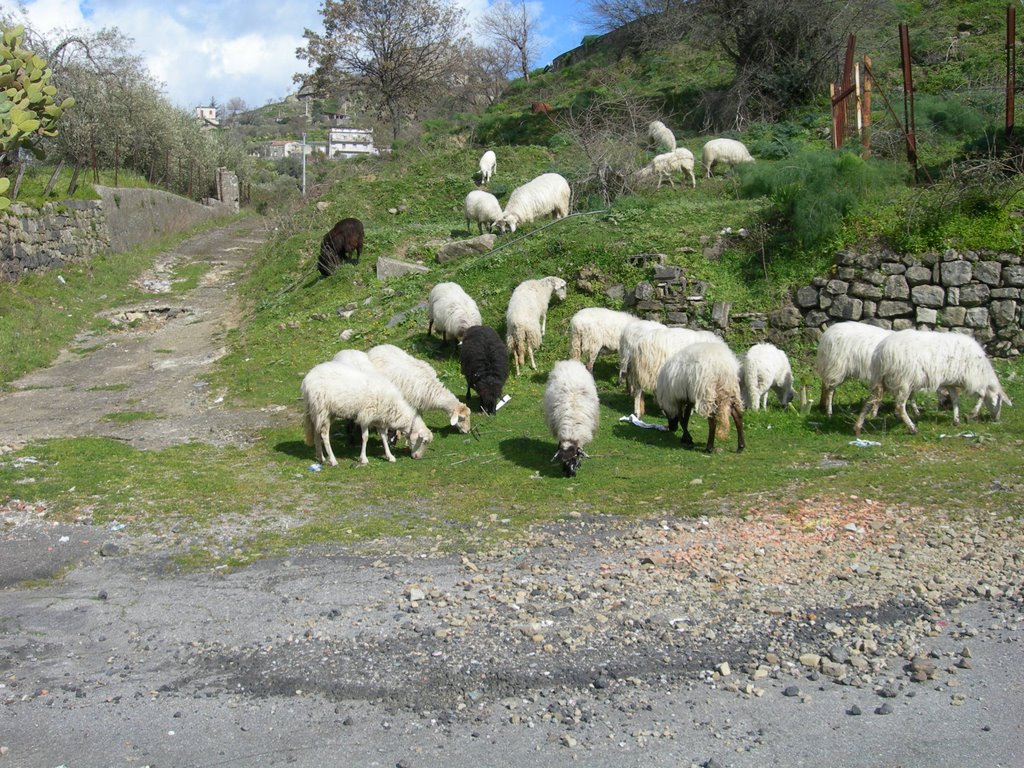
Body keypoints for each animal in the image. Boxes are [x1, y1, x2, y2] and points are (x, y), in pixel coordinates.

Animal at [301, 362, 434, 466]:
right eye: (425, 441)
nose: (418, 457)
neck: (393, 407)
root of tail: (307, 379)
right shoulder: (365, 416)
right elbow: (365, 437)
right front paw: (363, 458)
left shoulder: (379, 419)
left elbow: (384, 437)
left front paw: (390, 456)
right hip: (322, 409)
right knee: (324, 435)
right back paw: (332, 460)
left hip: (320, 412)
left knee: (316, 432)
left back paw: (321, 457)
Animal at [851, 331, 1011, 438]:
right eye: (1000, 403)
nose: (997, 420)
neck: (984, 373)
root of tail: (881, 353)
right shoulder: (972, 378)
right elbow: (982, 395)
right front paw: (971, 415)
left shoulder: (951, 382)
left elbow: (955, 400)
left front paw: (957, 420)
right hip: (904, 381)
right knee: (900, 406)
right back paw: (912, 428)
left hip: (880, 380)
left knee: (869, 401)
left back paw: (857, 428)